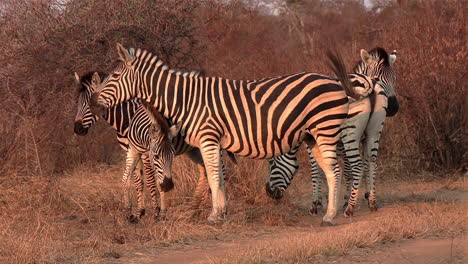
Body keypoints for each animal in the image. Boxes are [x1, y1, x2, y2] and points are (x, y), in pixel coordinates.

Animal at [73, 69, 219, 219]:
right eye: (78, 102)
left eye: (88, 104)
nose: (77, 129)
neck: (128, 118)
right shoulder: (132, 150)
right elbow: (138, 181)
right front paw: (140, 212)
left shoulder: (147, 153)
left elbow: (150, 180)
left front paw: (157, 211)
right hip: (193, 149)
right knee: (204, 170)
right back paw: (197, 208)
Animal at [88, 43, 372, 225]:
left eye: (115, 75)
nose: (92, 99)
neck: (184, 100)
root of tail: (334, 80)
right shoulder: (211, 142)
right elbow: (217, 176)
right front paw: (221, 212)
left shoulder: (208, 138)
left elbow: (214, 175)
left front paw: (214, 215)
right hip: (313, 136)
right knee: (331, 170)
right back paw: (332, 212)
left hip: (326, 130)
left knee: (335, 170)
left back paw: (331, 216)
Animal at [264, 47, 398, 217]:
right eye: (380, 78)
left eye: (271, 163)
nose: (268, 192)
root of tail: (370, 87)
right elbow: (347, 169)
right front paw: (348, 197)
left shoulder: (315, 141)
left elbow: (318, 170)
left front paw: (318, 203)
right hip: (373, 132)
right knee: (371, 161)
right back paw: (372, 203)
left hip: (350, 136)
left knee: (358, 165)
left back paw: (349, 208)